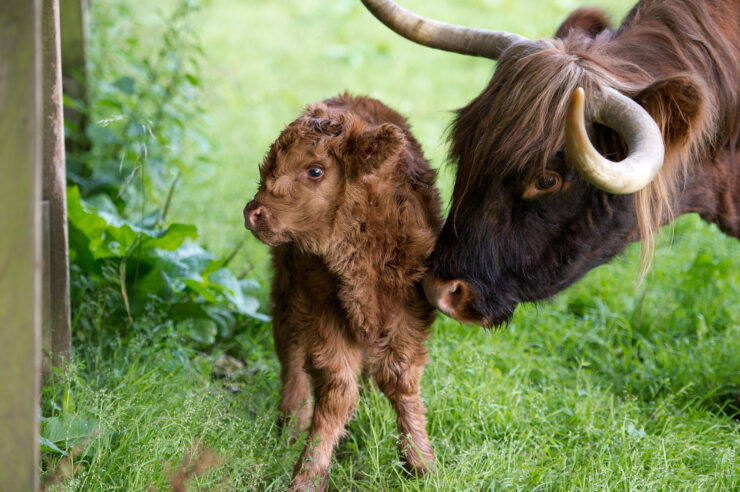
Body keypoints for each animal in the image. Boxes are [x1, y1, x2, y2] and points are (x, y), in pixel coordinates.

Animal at [243, 94, 442, 490]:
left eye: (315, 171)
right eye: (270, 163)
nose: (253, 213)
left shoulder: (410, 310)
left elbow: (400, 378)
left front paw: (421, 463)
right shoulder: (322, 307)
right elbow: (337, 391)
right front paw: (308, 473)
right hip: (288, 291)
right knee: (290, 353)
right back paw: (290, 423)